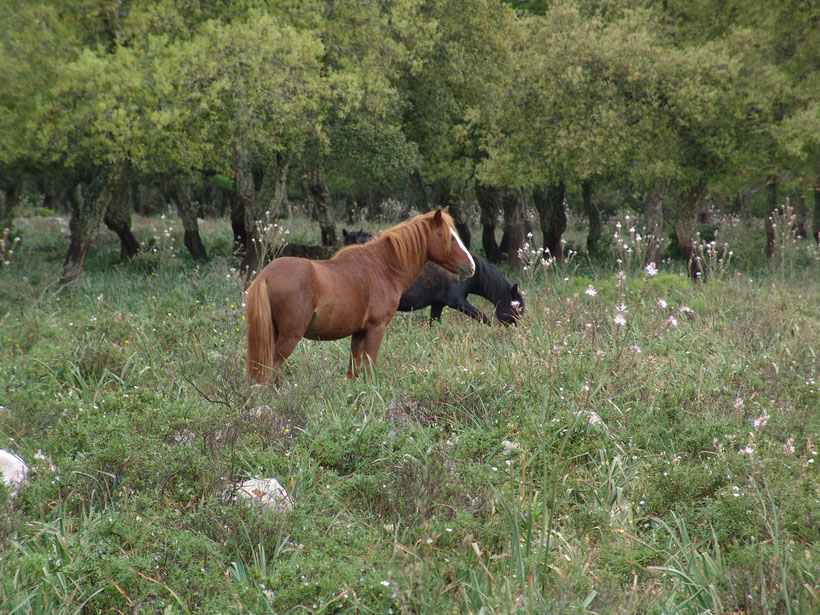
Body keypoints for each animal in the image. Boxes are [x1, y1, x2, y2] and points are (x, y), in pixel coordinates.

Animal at [243, 212, 474, 384]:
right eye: (450, 238)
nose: (471, 267)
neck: (382, 267)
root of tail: (265, 275)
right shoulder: (376, 328)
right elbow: (370, 366)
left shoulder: (359, 333)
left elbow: (353, 369)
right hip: (290, 336)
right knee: (271, 369)